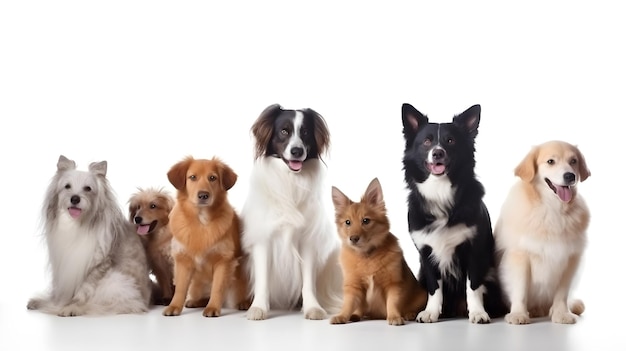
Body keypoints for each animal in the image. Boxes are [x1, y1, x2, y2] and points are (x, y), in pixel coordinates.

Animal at [27, 155, 152, 318]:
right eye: (67, 186)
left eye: (87, 188)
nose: (75, 198)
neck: (76, 224)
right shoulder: (61, 267)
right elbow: (59, 292)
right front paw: (53, 303)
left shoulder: (96, 266)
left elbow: (83, 292)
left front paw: (72, 307)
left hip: (117, 282)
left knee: (125, 304)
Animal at [162, 157, 250, 320]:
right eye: (192, 177)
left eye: (212, 178)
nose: (203, 195)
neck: (201, 220)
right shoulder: (182, 261)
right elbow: (180, 289)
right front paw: (174, 306)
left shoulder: (223, 261)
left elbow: (217, 288)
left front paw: (213, 307)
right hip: (196, 285)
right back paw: (195, 301)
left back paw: (244, 302)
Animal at [330, 179, 426, 328]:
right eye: (347, 222)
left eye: (366, 221)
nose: (353, 238)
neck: (367, 256)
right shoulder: (354, 287)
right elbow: (348, 304)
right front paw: (342, 315)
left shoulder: (393, 285)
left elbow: (392, 303)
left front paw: (394, 316)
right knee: (360, 309)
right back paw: (355, 315)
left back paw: (409, 314)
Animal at [400, 102, 502, 324]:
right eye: (427, 141)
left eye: (450, 141)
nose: (438, 153)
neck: (440, 190)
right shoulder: (426, 253)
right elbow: (434, 287)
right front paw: (431, 312)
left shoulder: (474, 250)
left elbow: (473, 286)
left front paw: (478, 312)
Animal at [492, 140, 588, 324]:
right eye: (550, 161)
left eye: (573, 161)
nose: (570, 176)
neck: (552, 209)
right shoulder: (520, 255)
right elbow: (520, 289)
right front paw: (518, 314)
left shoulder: (571, 258)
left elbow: (562, 292)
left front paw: (561, 313)